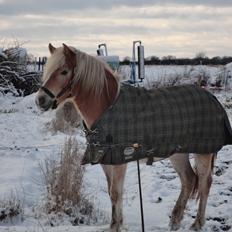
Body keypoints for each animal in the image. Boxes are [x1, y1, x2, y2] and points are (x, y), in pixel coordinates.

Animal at [35, 43, 232, 230]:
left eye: (64, 71)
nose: (40, 100)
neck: (106, 107)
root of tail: (212, 97)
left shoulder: (119, 160)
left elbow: (115, 193)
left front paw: (115, 227)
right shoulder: (106, 160)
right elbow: (112, 192)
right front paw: (117, 223)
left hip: (203, 152)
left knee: (205, 184)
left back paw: (197, 224)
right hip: (178, 152)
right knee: (189, 180)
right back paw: (175, 222)